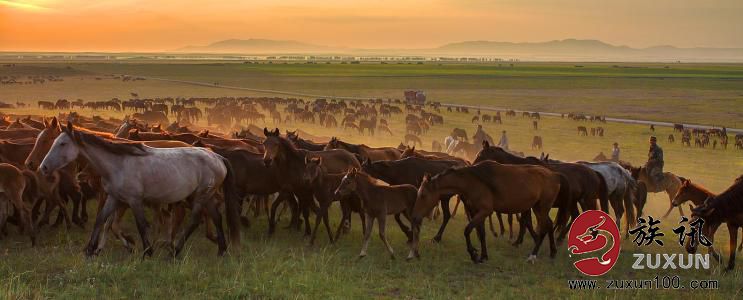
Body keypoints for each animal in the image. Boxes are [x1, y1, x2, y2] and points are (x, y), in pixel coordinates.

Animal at [38, 122, 241, 258]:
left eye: (62, 144)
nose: (43, 168)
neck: (118, 164)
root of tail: (218, 157)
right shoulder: (114, 198)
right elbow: (101, 220)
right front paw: (90, 250)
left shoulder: (134, 200)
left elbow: (141, 224)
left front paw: (146, 251)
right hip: (207, 196)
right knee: (217, 218)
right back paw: (221, 250)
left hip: (200, 196)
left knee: (195, 220)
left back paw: (174, 252)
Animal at [412, 162, 568, 262]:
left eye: (423, 195)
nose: (415, 217)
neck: (473, 181)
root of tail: (554, 175)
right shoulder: (477, 212)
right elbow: (481, 233)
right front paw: (483, 256)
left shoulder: (484, 211)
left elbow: (467, 230)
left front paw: (474, 254)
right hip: (537, 208)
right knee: (548, 225)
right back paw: (552, 251)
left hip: (542, 207)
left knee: (544, 228)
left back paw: (533, 255)